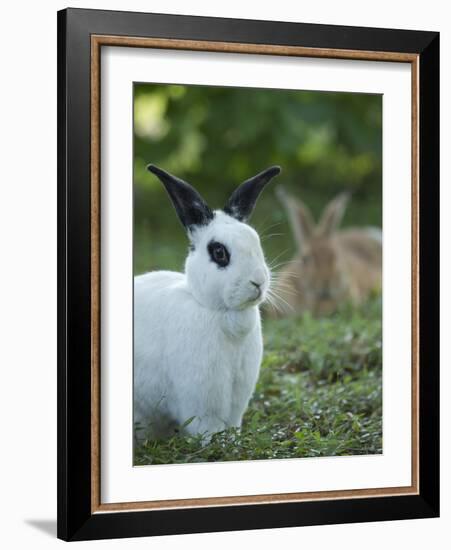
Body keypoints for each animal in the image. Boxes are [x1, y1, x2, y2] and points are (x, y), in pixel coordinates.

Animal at [132, 165, 280, 444]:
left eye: (256, 242)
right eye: (219, 252)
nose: (258, 281)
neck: (221, 313)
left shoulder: (237, 397)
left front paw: (233, 441)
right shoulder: (202, 397)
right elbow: (207, 427)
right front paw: (217, 444)